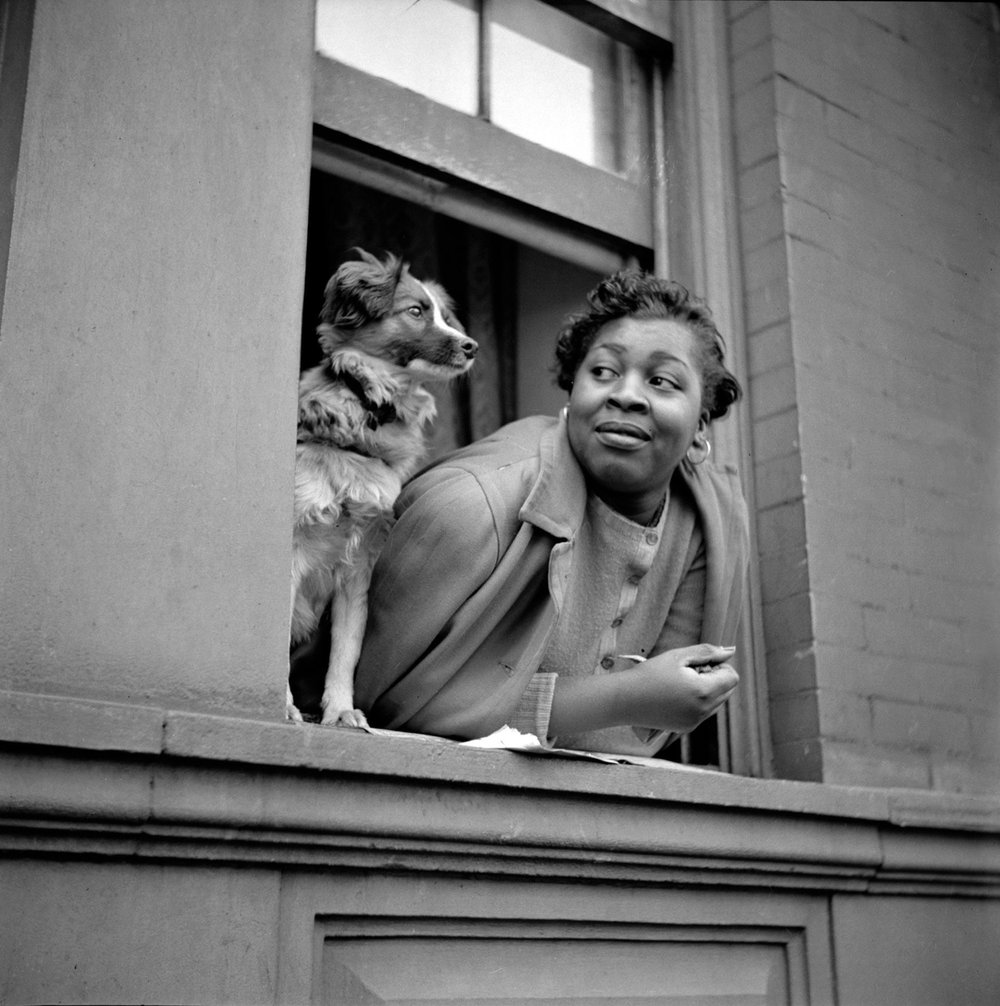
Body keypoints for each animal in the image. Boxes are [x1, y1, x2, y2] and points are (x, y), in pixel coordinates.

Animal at [285, 248, 476, 728]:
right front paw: (283, 705)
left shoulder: (358, 568)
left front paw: (339, 711)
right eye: (416, 311)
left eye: (444, 315)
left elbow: (346, 651)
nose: (472, 346)